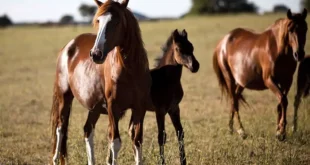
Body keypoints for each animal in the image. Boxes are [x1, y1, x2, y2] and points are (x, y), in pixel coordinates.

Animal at [50, 0, 151, 164]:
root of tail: (68, 47)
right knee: (60, 128)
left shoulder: (139, 108)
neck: (129, 70)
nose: (96, 54)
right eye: (98, 21)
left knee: (87, 130)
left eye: (117, 21)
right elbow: (115, 142)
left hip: (94, 107)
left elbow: (137, 141)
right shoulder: (112, 107)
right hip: (64, 97)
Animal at [130, 29, 200, 164]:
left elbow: (180, 132)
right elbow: (161, 137)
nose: (195, 66)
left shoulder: (174, 109)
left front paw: (183, 161)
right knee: (136, 135)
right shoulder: (160, 110)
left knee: (133, 133)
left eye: (192, 47)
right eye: (179, 49)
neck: (167, 80)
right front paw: (162, 162)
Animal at [213, 8, 308, 141]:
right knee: (234, 102)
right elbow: (283, 100)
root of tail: (222, 42)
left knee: (235, 99)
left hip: (241, 83)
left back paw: (231, 129)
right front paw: (281, 132)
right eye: (291, 30)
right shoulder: (269, 80)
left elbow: (281, 103)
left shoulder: (287, 81)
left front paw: (278, 131)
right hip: (229, 79)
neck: (278, 50)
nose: (299, 54)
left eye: (305, 28)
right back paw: (241, 131)